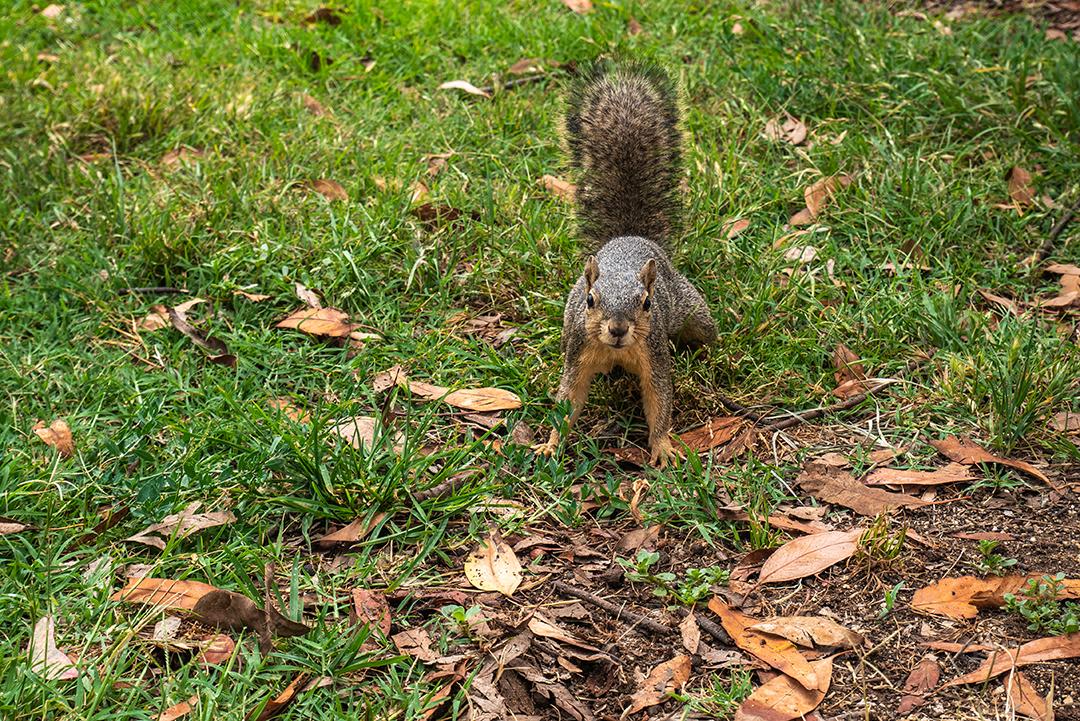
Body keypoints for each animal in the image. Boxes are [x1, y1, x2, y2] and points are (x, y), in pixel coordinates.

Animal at [533, 60, 717, 468]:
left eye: (646, 303)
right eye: (590, 300)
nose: (617, 329)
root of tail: (630, 237)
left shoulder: (654, 354)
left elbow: (660, 400)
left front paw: (662, 446)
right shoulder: (578, 350)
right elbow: (568, 399)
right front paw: (551, 443)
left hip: (693, 311)